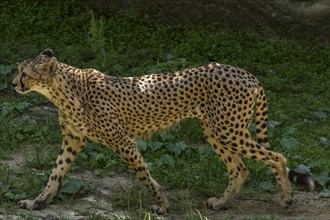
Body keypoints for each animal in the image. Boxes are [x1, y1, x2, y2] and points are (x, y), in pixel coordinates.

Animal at [11, 49, 314, 213]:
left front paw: (162, 205)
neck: (63, 90)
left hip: (229, 130)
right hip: (215, 131)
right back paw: (221, 203)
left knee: (277, 157)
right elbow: (55, 174)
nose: (13, 83)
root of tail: (244, 72)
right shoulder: (72, 139)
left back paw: (286, 198)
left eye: (24, 73)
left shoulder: (123, 141)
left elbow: (143, 174)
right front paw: (38, 201)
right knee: (240, 169)